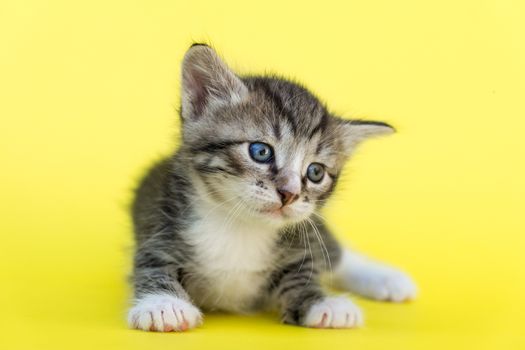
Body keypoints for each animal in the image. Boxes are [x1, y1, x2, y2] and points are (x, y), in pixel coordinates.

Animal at [127, 43, 414, 330]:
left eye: (315, 172)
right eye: (261, 151)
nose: (290, 194)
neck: (241, 227)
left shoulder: (302, 243)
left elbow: (304, 275)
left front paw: (323, 303)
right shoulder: (157, 223)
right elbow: (153, 265)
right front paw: (163, 304)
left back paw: (388, 279)